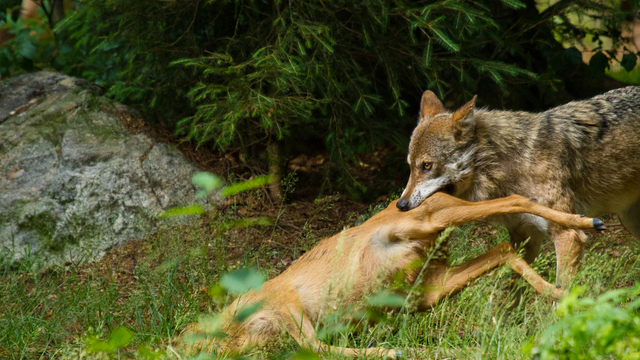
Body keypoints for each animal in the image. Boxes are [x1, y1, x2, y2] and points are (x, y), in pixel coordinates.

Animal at [182, 193, 604, 356]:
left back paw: (587, 226)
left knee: (512, 204)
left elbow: (318, 346)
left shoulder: (284, 302)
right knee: (503, 247)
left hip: (427, 225)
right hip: (425, 287)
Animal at [398, 89, 636, 286]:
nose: (401, 204)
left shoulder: (569, 237)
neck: (507, 164)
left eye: (427, 166)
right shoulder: (524, 239)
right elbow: (512, 291)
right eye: (410, 166)